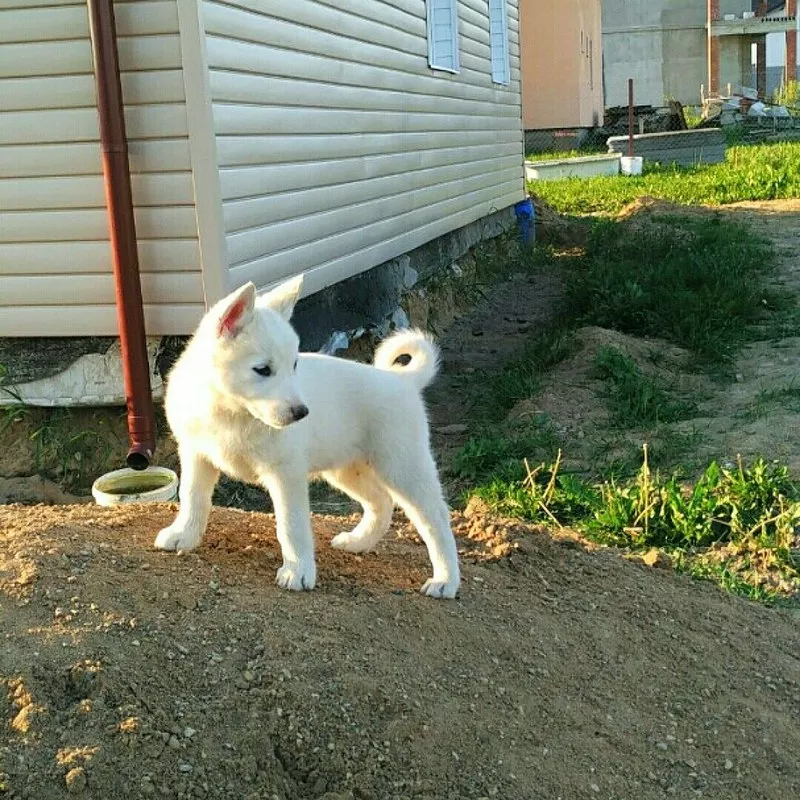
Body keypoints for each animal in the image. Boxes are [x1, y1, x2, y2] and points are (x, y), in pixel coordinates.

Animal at [154, 278, 460, 596]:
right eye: (262, 370)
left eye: (294, 365)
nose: (302, 413)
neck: (233, 412)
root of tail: (402, 380)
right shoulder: (196, 454)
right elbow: (193, 498)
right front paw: (183, 535)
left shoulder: (285, 473)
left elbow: (291, 525)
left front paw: (297, 571)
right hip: (347, 470)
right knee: (381, 502)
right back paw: (358, 542)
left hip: (402, 467)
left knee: (435, 518)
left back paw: (445, 580)